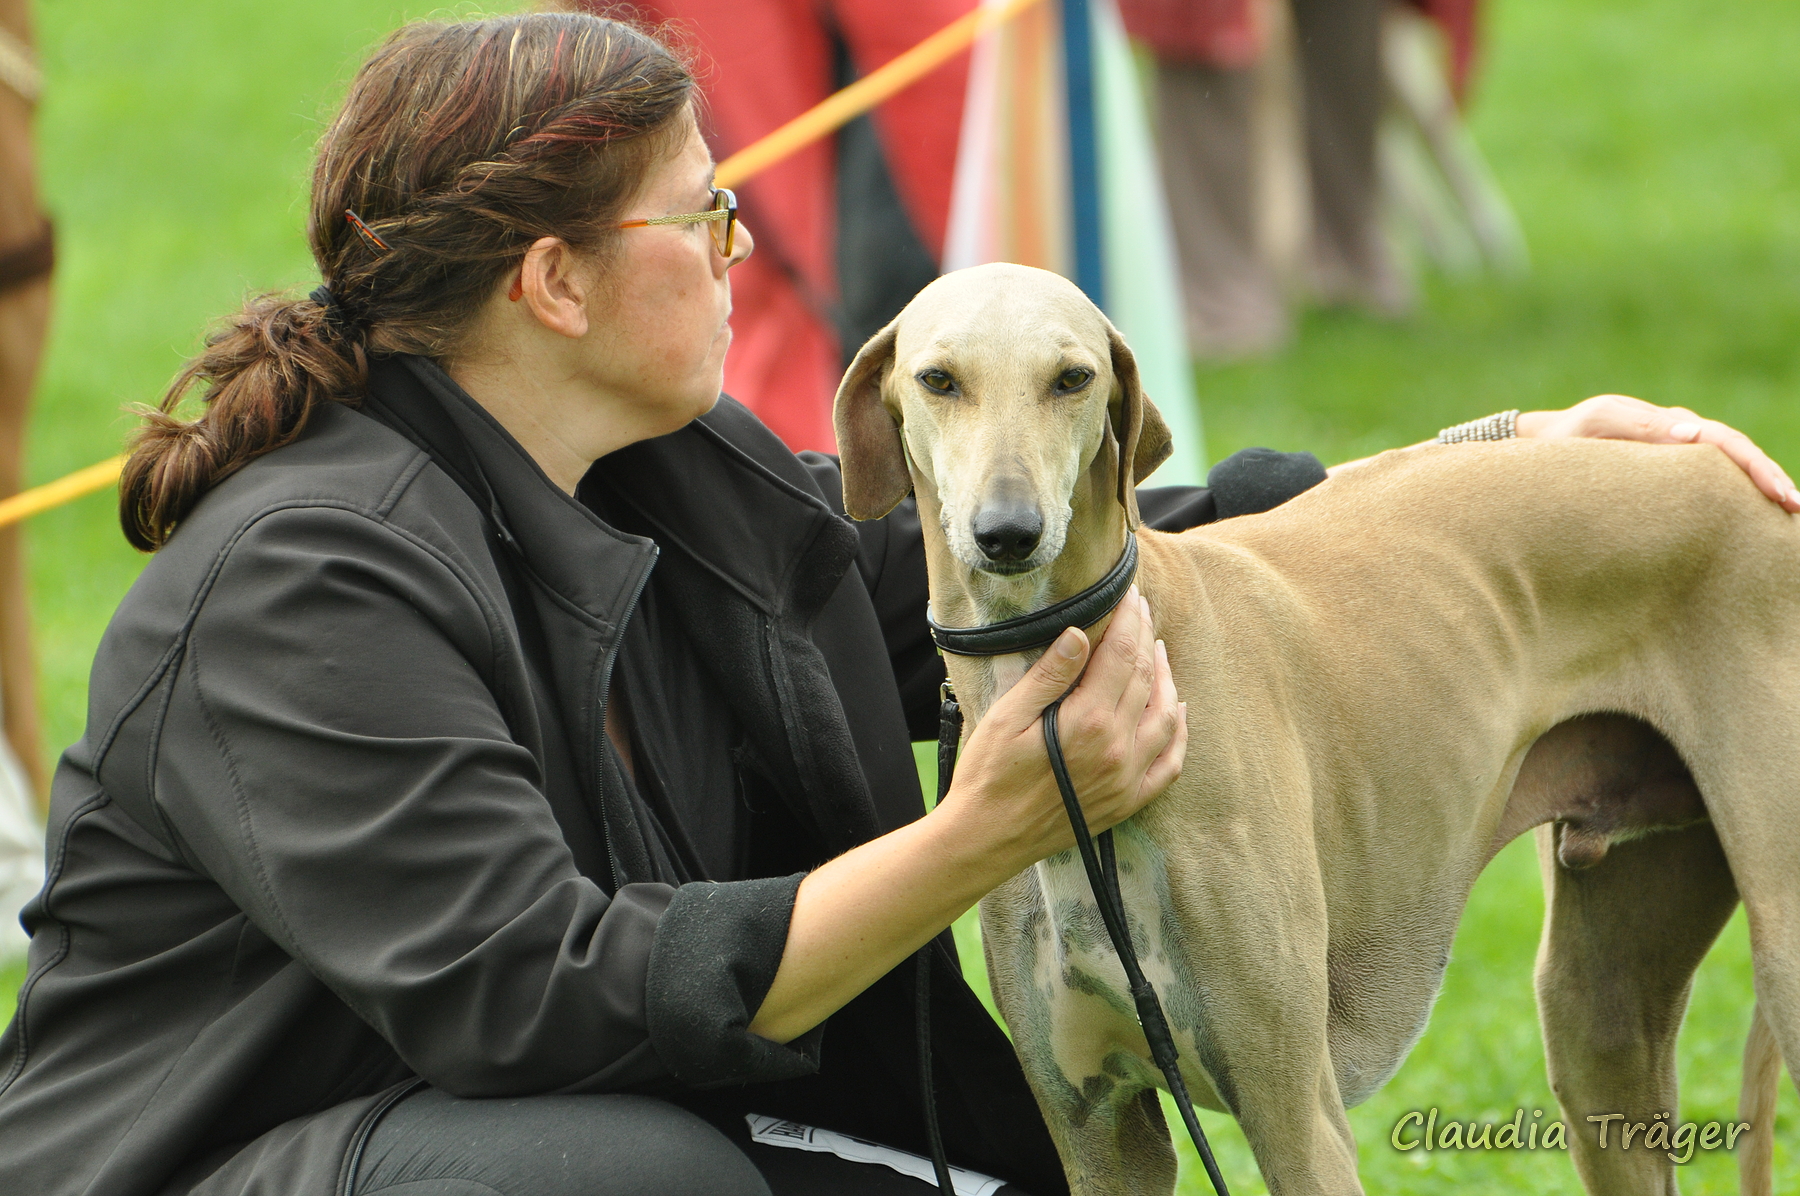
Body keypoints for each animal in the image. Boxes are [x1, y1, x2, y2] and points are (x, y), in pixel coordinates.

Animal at [835, 264, 1792, 1196]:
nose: (1007, 534)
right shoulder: (1099, 1131)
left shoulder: (1295, 1114)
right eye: (938, 380)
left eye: (1073, 378)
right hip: (1599, 1019)